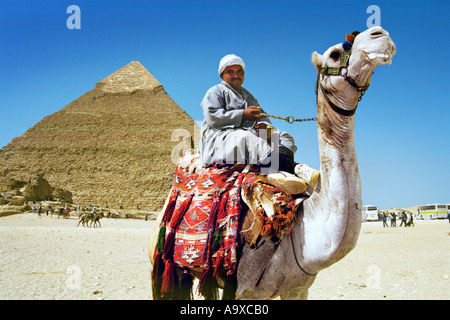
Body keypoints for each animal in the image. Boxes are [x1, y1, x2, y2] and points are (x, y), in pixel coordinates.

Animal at [149, 26, 394, 300]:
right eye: (334, 53)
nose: (379, 34)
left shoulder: (298, 289)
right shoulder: (242, 288)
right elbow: (217, 112)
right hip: (164, 264)